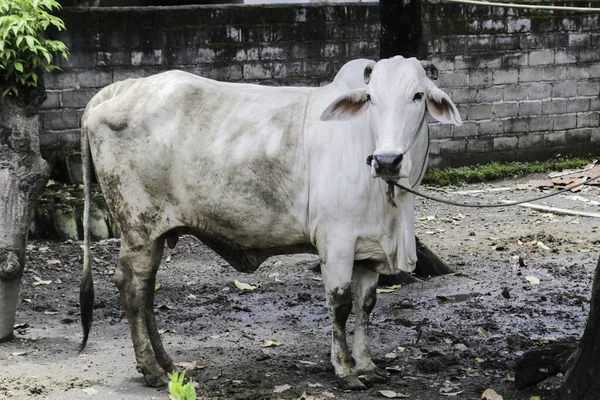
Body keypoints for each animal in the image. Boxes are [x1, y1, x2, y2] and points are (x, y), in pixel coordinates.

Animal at [79, 55, 462, 388]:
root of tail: (120, 88)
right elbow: (340, 304)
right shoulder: (336, 243)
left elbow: (365, 306)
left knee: (146, 292)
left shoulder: (368, 251)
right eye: (371, 98)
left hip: (156, 233)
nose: (386, 161)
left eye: (418, 95)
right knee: (133, 288)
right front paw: (345, 369)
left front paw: (367, 365)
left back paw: (168, 365)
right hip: (138, 228)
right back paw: (152, 370)